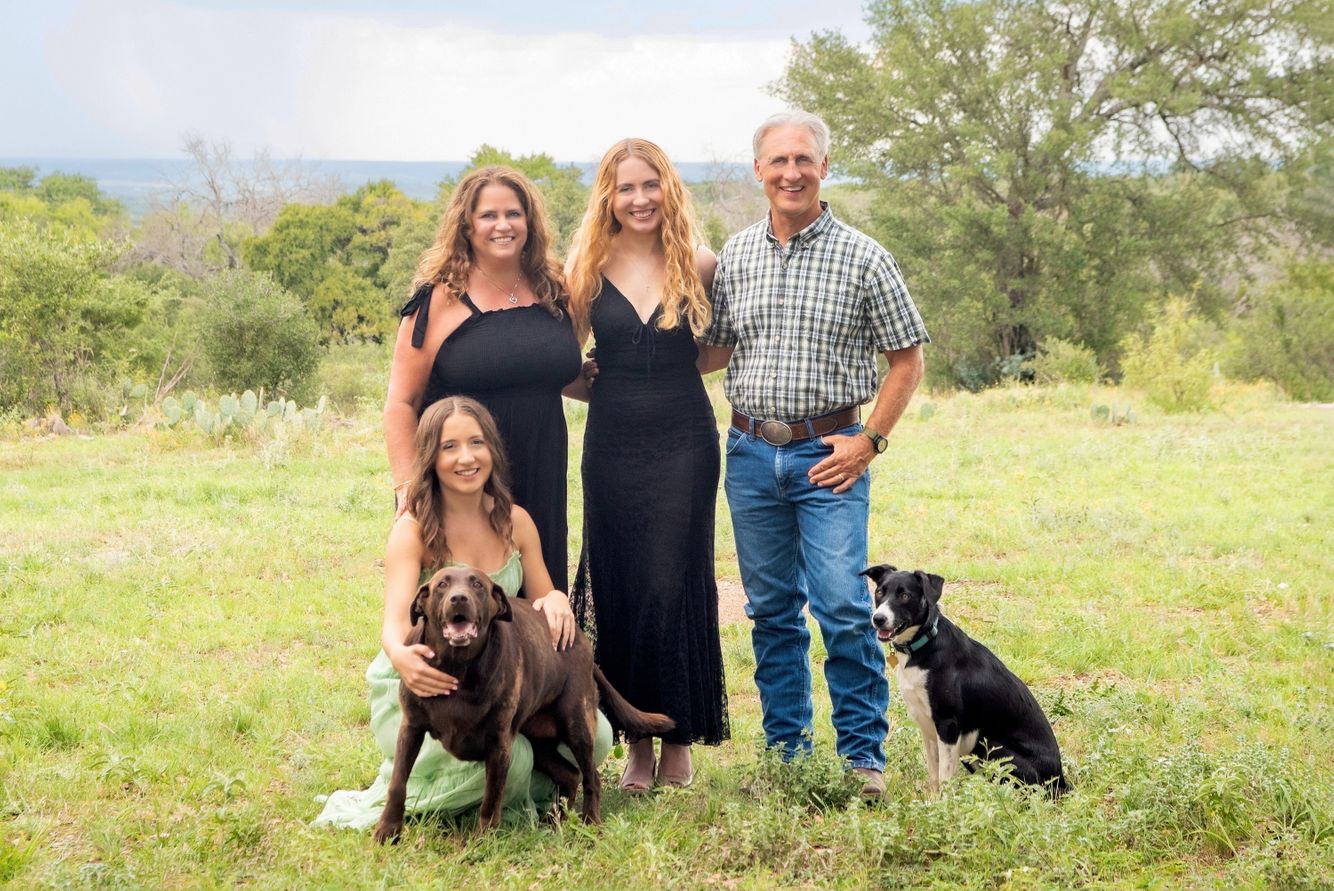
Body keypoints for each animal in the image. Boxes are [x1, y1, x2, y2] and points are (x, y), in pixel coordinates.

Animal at [859, 562, 1067, 794]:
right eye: (879, 592)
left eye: (904, 595)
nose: (878, 619)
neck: (923, 645)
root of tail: (1060, 780)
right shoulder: (927, 727)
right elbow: (934, 775)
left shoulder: (948, 725)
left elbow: (945, 777)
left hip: (993, 747)